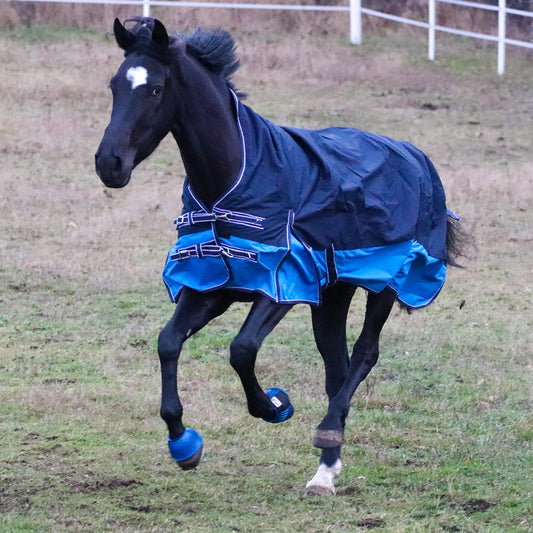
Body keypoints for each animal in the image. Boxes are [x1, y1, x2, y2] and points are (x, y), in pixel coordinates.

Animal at [94, 17, 462, 494]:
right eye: (115, 85)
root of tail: (416, 156)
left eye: (155, 89)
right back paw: (326, 469)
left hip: (388, 281)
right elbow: (168, 342)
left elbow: (242, 349)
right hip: (333, 295)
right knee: (336, 366)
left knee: (364, 354)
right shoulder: (211, 281)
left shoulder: (282, 282)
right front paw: (183, 443)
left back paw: (327, 433)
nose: (109, 164)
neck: (234, 177)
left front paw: (274, 404)